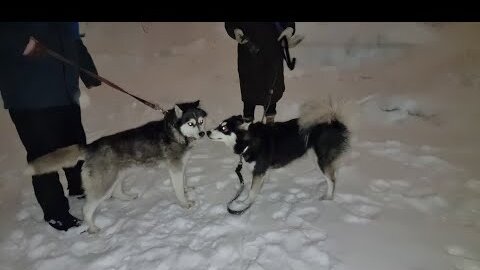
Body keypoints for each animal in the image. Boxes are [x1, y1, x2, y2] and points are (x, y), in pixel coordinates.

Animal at [25, 100, 206, 233]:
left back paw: (127, 197)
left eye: (200, 122)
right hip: (104, 183)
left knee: (117, 192)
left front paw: (187, 189)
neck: (176, 132)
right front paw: (185, 203)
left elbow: (183, 181)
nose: (203, 133)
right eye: (190, 124)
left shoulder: (182, 166)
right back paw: (93, 228)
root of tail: (91, 146)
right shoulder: (175, 168)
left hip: (118, 174)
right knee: (87, 209)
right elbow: (178, 189)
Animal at [208, 99, 350, 213]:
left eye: (224, 128)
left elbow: (252, 191)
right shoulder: (262, 169)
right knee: (332, 174)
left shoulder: (258, 170)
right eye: (219, 125)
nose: (208, 132)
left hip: (318, 157)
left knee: (332, 179)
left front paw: (245, 203)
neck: (249, 141)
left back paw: (328, 198)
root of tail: (333, 122)